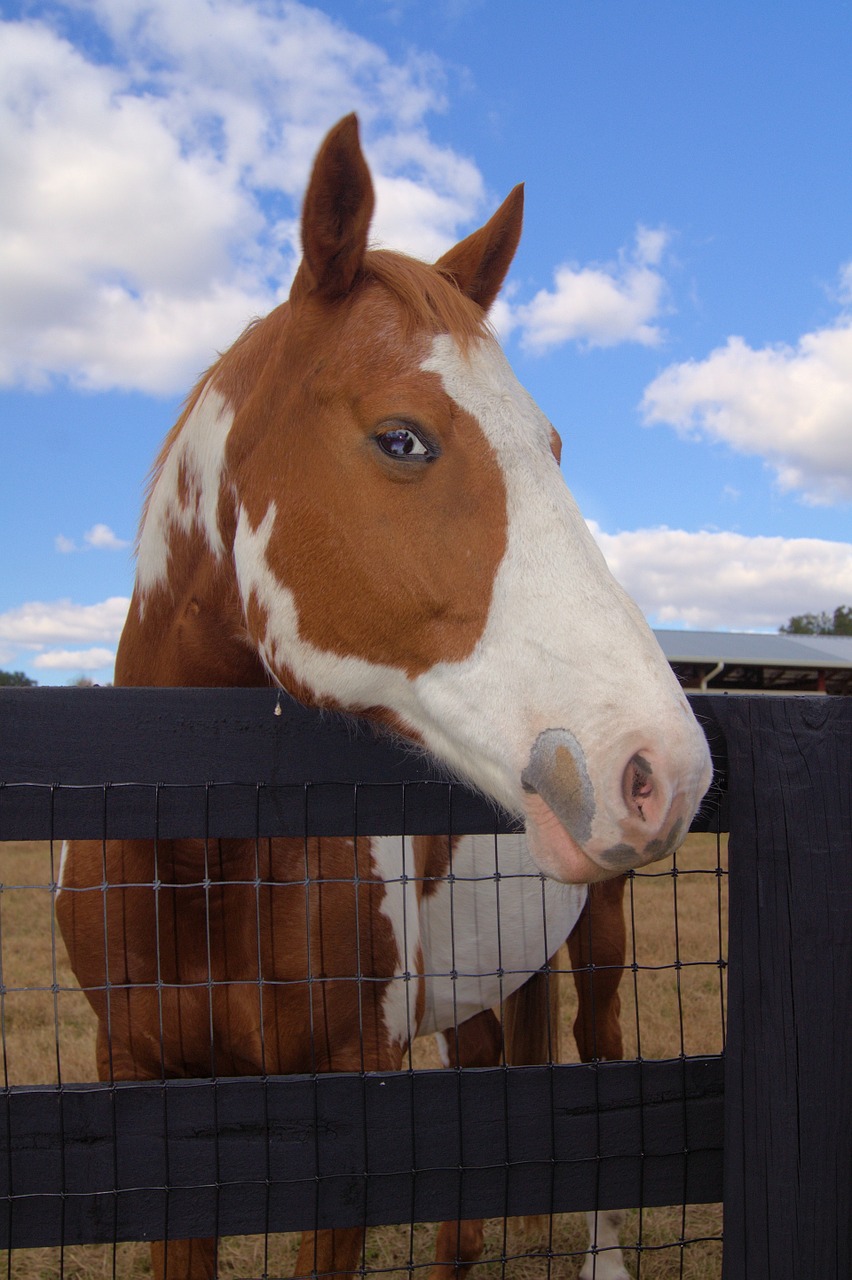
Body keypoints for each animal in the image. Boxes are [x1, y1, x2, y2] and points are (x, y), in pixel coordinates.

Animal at [56, 112, 706, 1280]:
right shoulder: (144, 1094)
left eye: (552, 447)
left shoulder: (348, 1096)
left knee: (597, 1054)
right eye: (402, 437)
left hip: (603, 935)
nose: (663, 770)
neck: (194, 859)